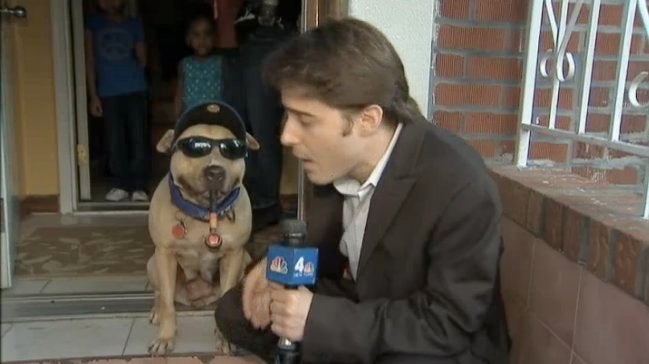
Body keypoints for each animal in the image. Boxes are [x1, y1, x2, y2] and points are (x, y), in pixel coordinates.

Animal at [147, 102, 258, 356]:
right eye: (195, 147)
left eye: (232, 149)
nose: (215, 171)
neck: (205, 214)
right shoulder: (164, 254)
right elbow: (167, 302)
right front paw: (166, 338)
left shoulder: (234, 255)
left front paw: (224, 339)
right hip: (152, 263)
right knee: (161, 294)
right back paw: (156, 310)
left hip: (246, 260)